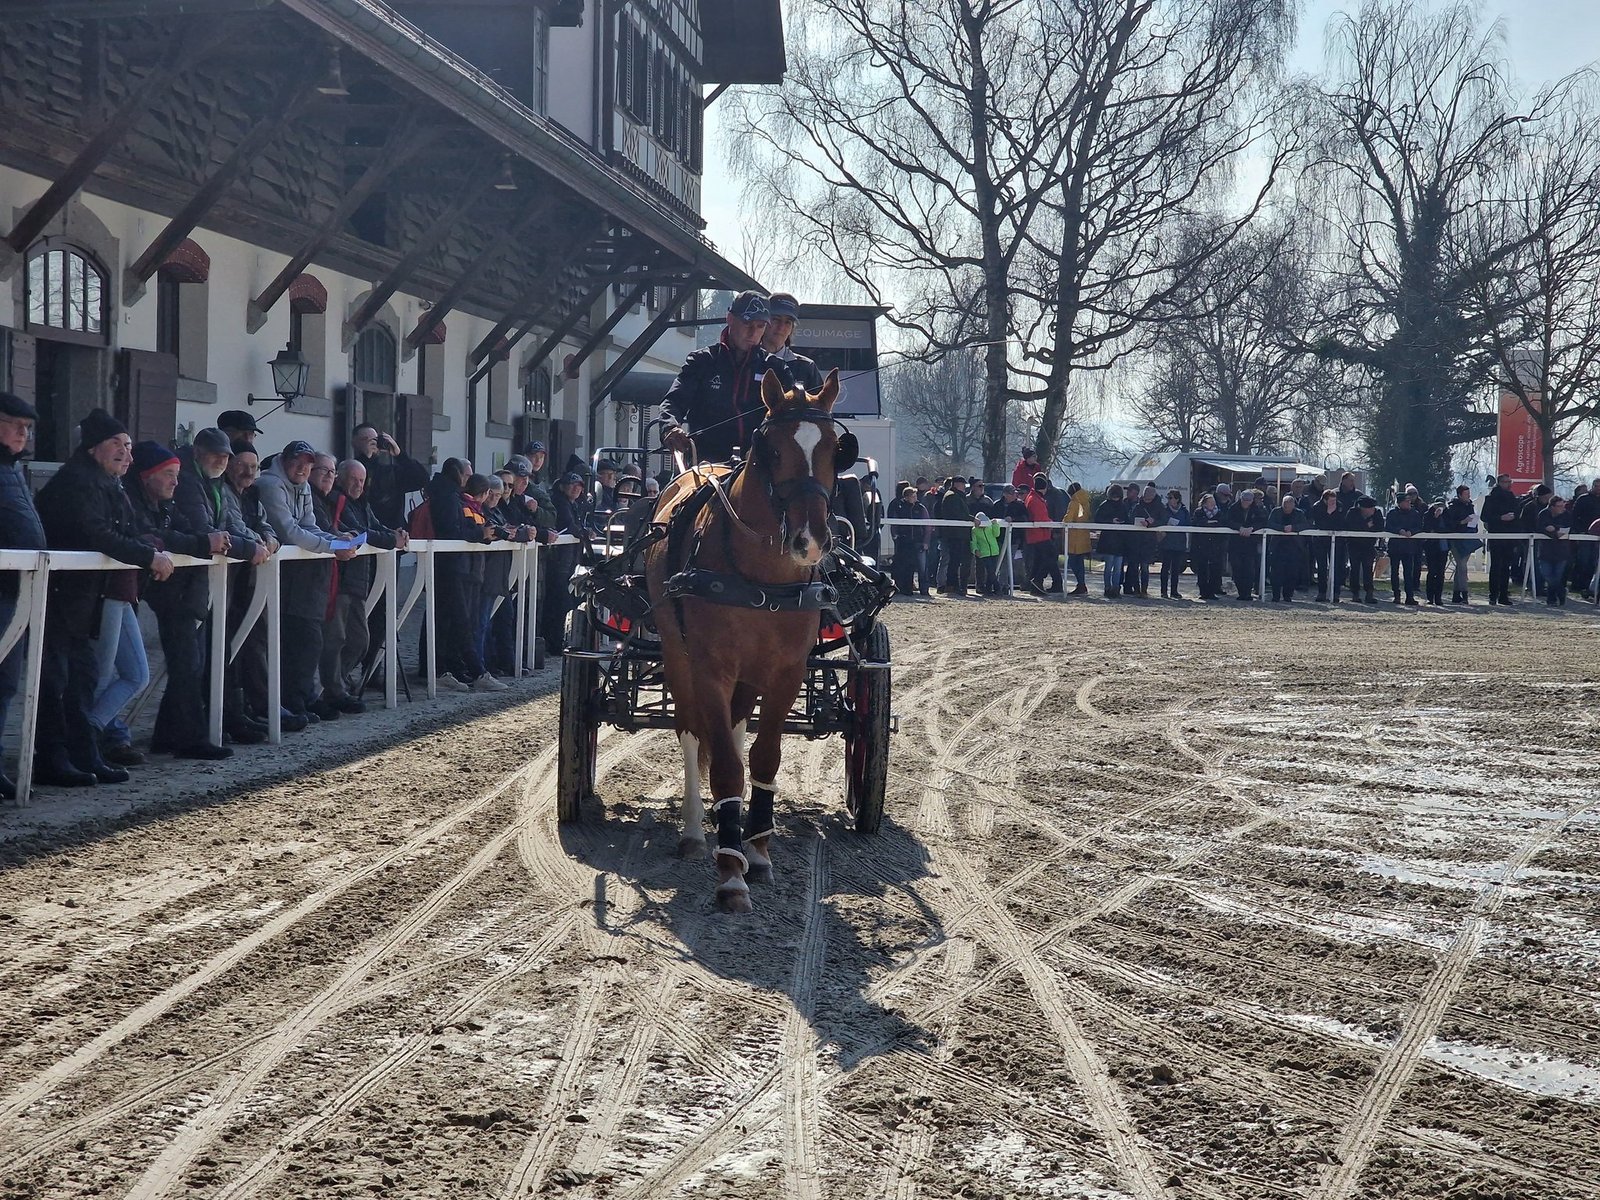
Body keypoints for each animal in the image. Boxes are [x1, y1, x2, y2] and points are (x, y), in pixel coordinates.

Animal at [644, 367, 844, 913]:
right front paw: (731, 874)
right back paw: (697, 830)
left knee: (733, 728)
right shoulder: (711, 667)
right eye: (770, 449)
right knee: (693, 733)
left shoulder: (786, 671)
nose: (809, 540)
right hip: (678, 654)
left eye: (834, 449)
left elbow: (763, 757)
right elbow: (727, 768)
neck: (762, 576)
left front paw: (756, 851)